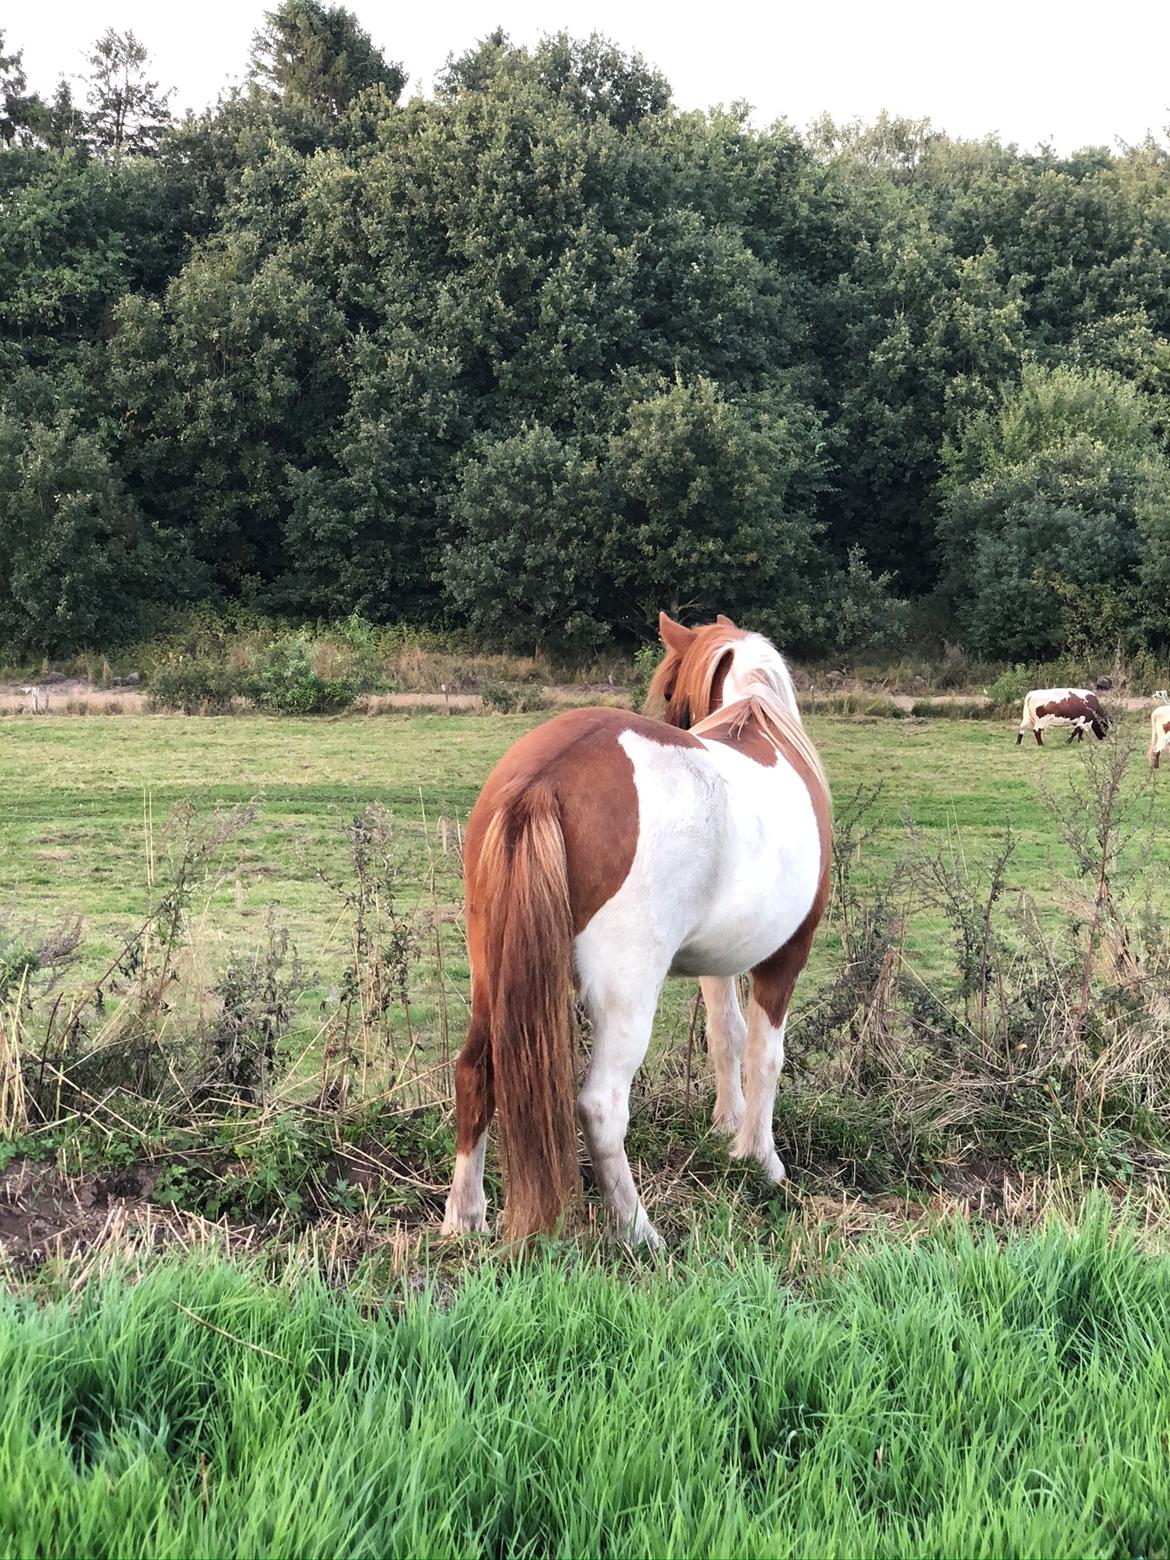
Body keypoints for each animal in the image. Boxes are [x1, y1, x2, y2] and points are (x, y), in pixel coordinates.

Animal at [443, 608, 836, 1241]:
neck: (761, 723)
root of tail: (541, 779)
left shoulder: (719, 962)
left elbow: (723, 1036)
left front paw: (727, 1125)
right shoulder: (786, 955)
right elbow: (765, 1054)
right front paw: (761, 1158)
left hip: (492, 977)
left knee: (475, 1074)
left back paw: (465, 1217)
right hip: (627, 995)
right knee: (601, 1106)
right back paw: (636, 1228)